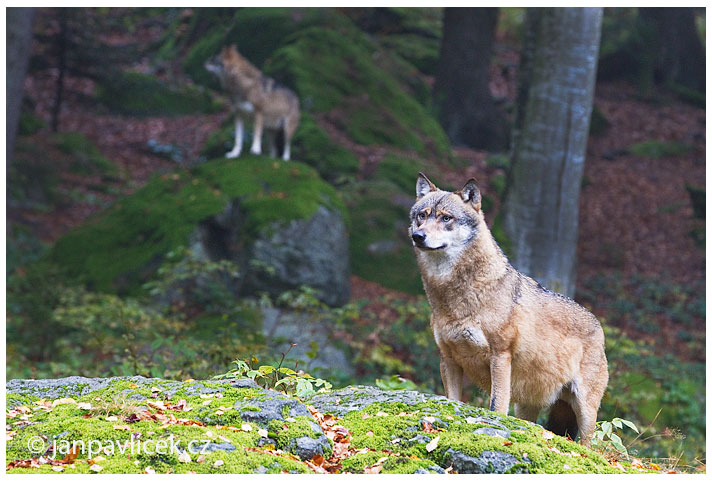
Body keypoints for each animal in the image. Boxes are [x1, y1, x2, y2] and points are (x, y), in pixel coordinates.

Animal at [408, 172, 608, 442]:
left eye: (446, 218)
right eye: (422, 215)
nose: (418, 236)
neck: (455, 298)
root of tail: (599, 326)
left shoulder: (500, 356)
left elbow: (496, 405)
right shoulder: (448, 359)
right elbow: (453, 399)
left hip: (585, 411)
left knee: (590, 444)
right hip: (528, 407)